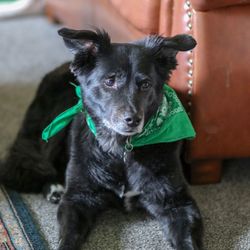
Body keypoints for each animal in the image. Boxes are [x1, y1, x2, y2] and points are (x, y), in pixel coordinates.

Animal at [0, 28, 202, 249]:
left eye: (146, 84)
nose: (133, 120)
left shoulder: (177, 202)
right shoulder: (77, 199)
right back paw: (54, 188)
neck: (121, 149)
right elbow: (68, 237)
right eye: (109, 81)